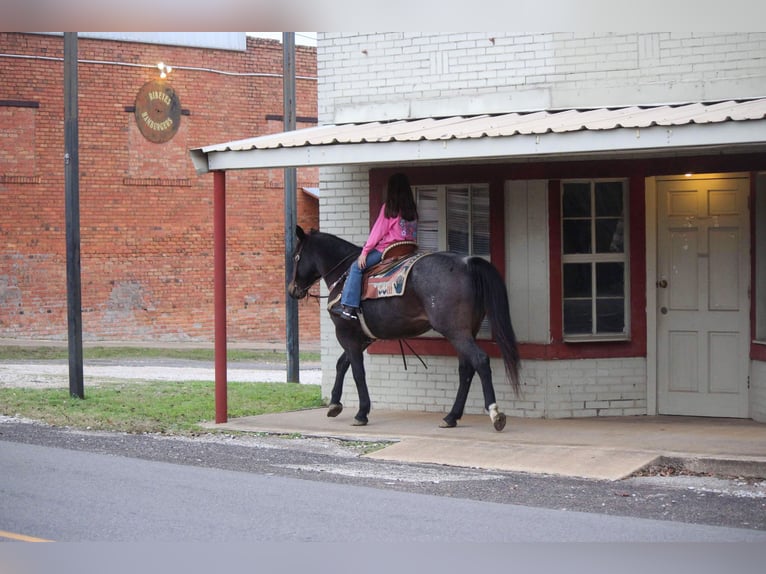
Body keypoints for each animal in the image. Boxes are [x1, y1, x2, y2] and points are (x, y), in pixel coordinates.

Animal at [288, 225, 520, 432]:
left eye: (296, 257)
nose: (292, 290)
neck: (344, 275)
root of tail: (467, 262)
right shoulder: (363, 337)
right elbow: (342, 364)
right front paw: (335, 404)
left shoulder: (346, 333)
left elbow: (357, 371)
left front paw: (361, 413)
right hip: (466, 331)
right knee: (466, 370)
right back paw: (451, 417)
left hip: (456, 332)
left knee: (480, 361)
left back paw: (495, 413)